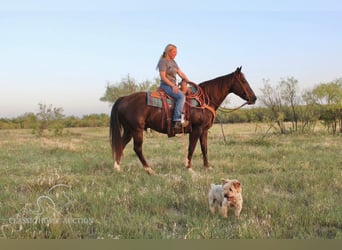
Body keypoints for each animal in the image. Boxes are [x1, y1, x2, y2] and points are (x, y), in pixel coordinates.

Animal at [109, 66, 256, 174]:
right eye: (243, 81)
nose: (254, 98)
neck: (204, 100)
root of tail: (124, 98)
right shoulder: (196, 130)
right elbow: (191, 148)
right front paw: (189, 168)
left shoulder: (204, 131)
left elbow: (204, 148)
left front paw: (207, 167)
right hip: (137, 130)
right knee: (137, 148)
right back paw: (149, 169)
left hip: (129, 130)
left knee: (121, 144)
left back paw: (117, 168)